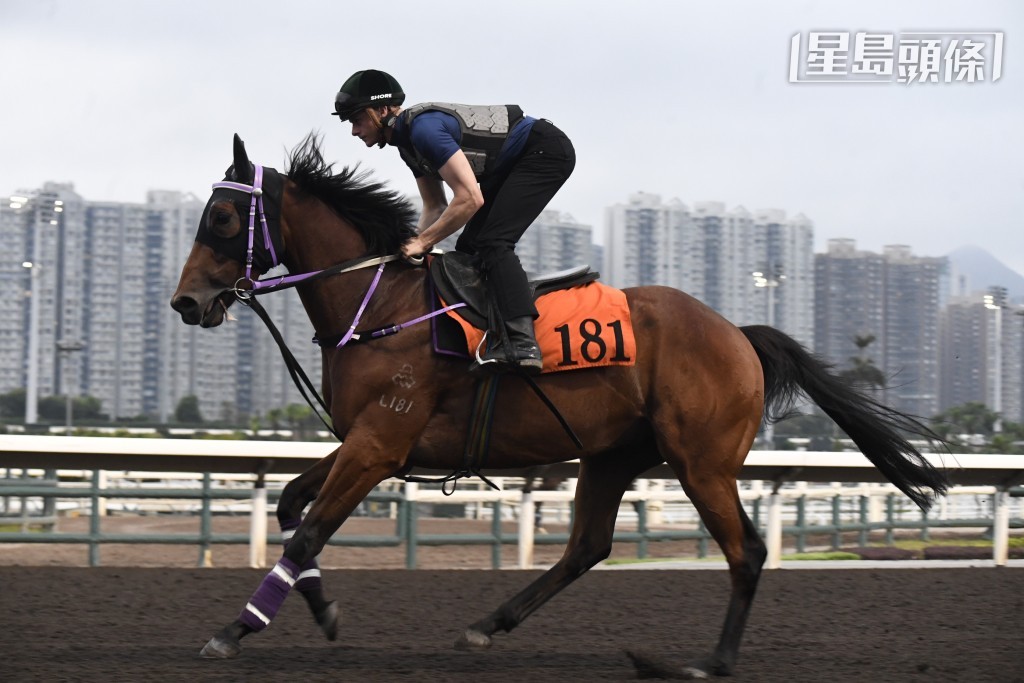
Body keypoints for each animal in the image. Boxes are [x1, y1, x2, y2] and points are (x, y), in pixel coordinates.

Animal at [170, 133, 949, 679]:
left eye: (223, 215)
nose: (186, 302)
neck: (381, 303)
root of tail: (738, 333)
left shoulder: (380, 444)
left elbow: (306, 532)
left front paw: (233, 631)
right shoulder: (365, 439)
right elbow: (290, 507)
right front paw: (324, 609)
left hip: (700, 461)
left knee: (746, 551)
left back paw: (710, 662)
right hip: (612, 454)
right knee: (588, 546)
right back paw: (488, 624)